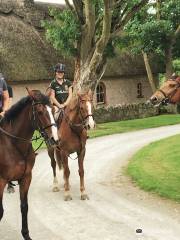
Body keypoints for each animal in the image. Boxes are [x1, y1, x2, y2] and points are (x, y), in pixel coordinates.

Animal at [0, 89, 58, 240]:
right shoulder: (1, 181)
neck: (13, 145)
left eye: (53, 109)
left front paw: (26, 234)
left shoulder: (26, 178)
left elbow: (24, 207)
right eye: (39, 111)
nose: (54, 139)